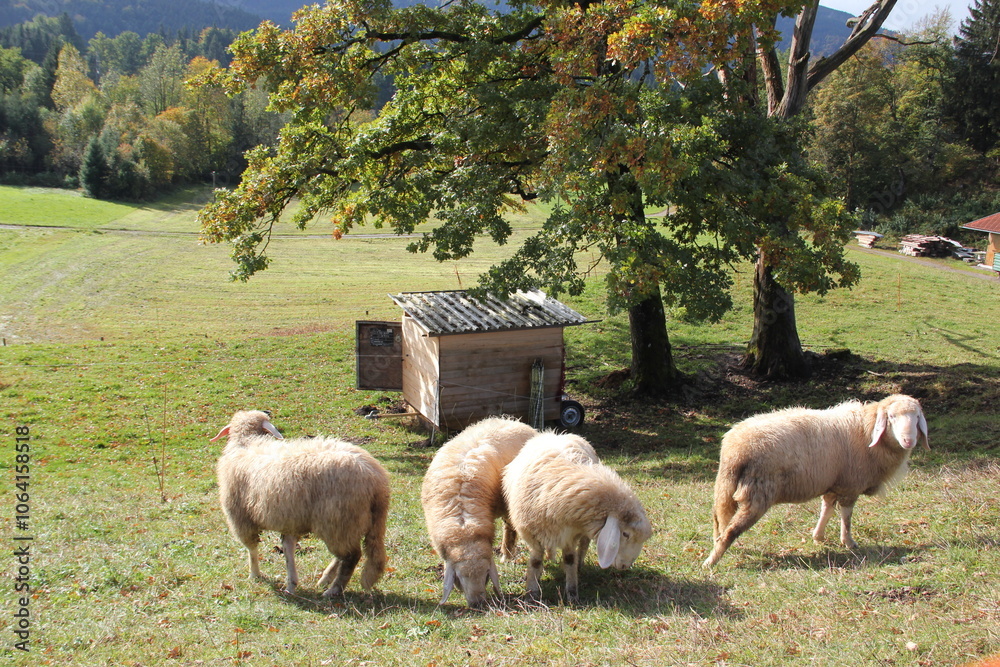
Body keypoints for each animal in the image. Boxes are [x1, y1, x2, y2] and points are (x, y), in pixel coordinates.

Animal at [212, 410, 390, 597]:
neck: (246, 443)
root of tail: (376, 479)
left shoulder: (241, 518)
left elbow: (252, 549)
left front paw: (254, 574)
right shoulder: (290, 520)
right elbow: (288, 550)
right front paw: (291, 584)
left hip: (339, 520)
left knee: (351, 556)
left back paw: (333, 589)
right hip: (351, 523)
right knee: (345, 554)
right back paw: (325, 579)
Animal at [420, 416, 539, 607]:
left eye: (486, 577)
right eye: (460, 577)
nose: (478, 604)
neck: (464, 527)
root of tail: (515, 422)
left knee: (510, 527)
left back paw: (506, 555)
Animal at [502, 431, 652, 602]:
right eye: (625, 534)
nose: (625, 566)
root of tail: (555, 433)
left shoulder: (571, 534)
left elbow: (569, 559)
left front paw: (572, 593)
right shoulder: (533, 535)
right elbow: (535, 561)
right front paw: (532, 593)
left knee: (583, 547)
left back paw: (578, 566)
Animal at [703, 394, 929, 568]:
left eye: (917, 417)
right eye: (891, 417)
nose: (909, 440)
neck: (866, 431)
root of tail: (736, 449)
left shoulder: (833, 484)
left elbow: (826, 509)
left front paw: (818, 536)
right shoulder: (850, 486)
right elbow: (846, 517)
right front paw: (849, 542)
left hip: (724, 487)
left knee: (718, 521)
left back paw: (716, 547)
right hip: (757, 494)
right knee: (730, 531)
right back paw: (711, 562)